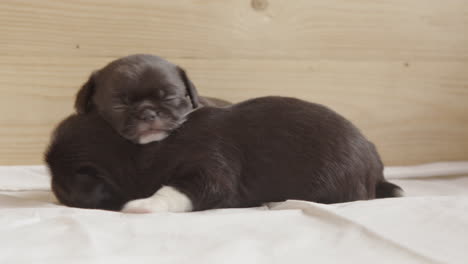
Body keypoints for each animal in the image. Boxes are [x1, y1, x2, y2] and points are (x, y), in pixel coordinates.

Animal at [44, 96, 402, 213]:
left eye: (60, 178)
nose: (52, 188)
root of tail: (377, 169)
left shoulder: (210, 168)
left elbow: (176, 190)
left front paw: (143, 205)